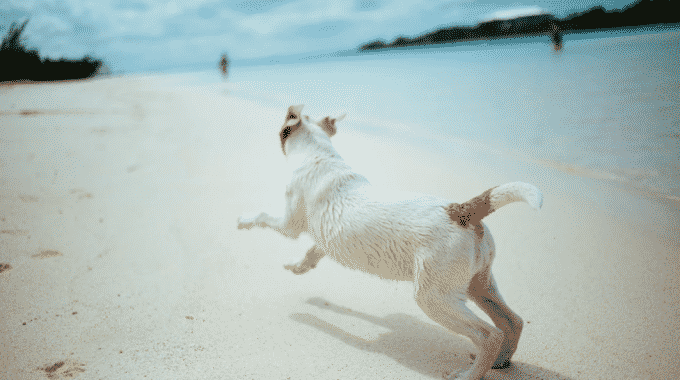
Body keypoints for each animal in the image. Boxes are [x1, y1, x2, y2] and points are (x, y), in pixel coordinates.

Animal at [236, 104, 544, 380]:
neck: (319, 155)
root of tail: (461, 210)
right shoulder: (323, 237)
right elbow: (313, 252)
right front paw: (298, 266)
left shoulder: (288, 225)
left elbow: (263, 217)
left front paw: (243, 220)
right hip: (478, 285)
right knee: (512, 321)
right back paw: (502, 362)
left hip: (434, 298)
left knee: (489, 334)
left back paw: (471, 374)